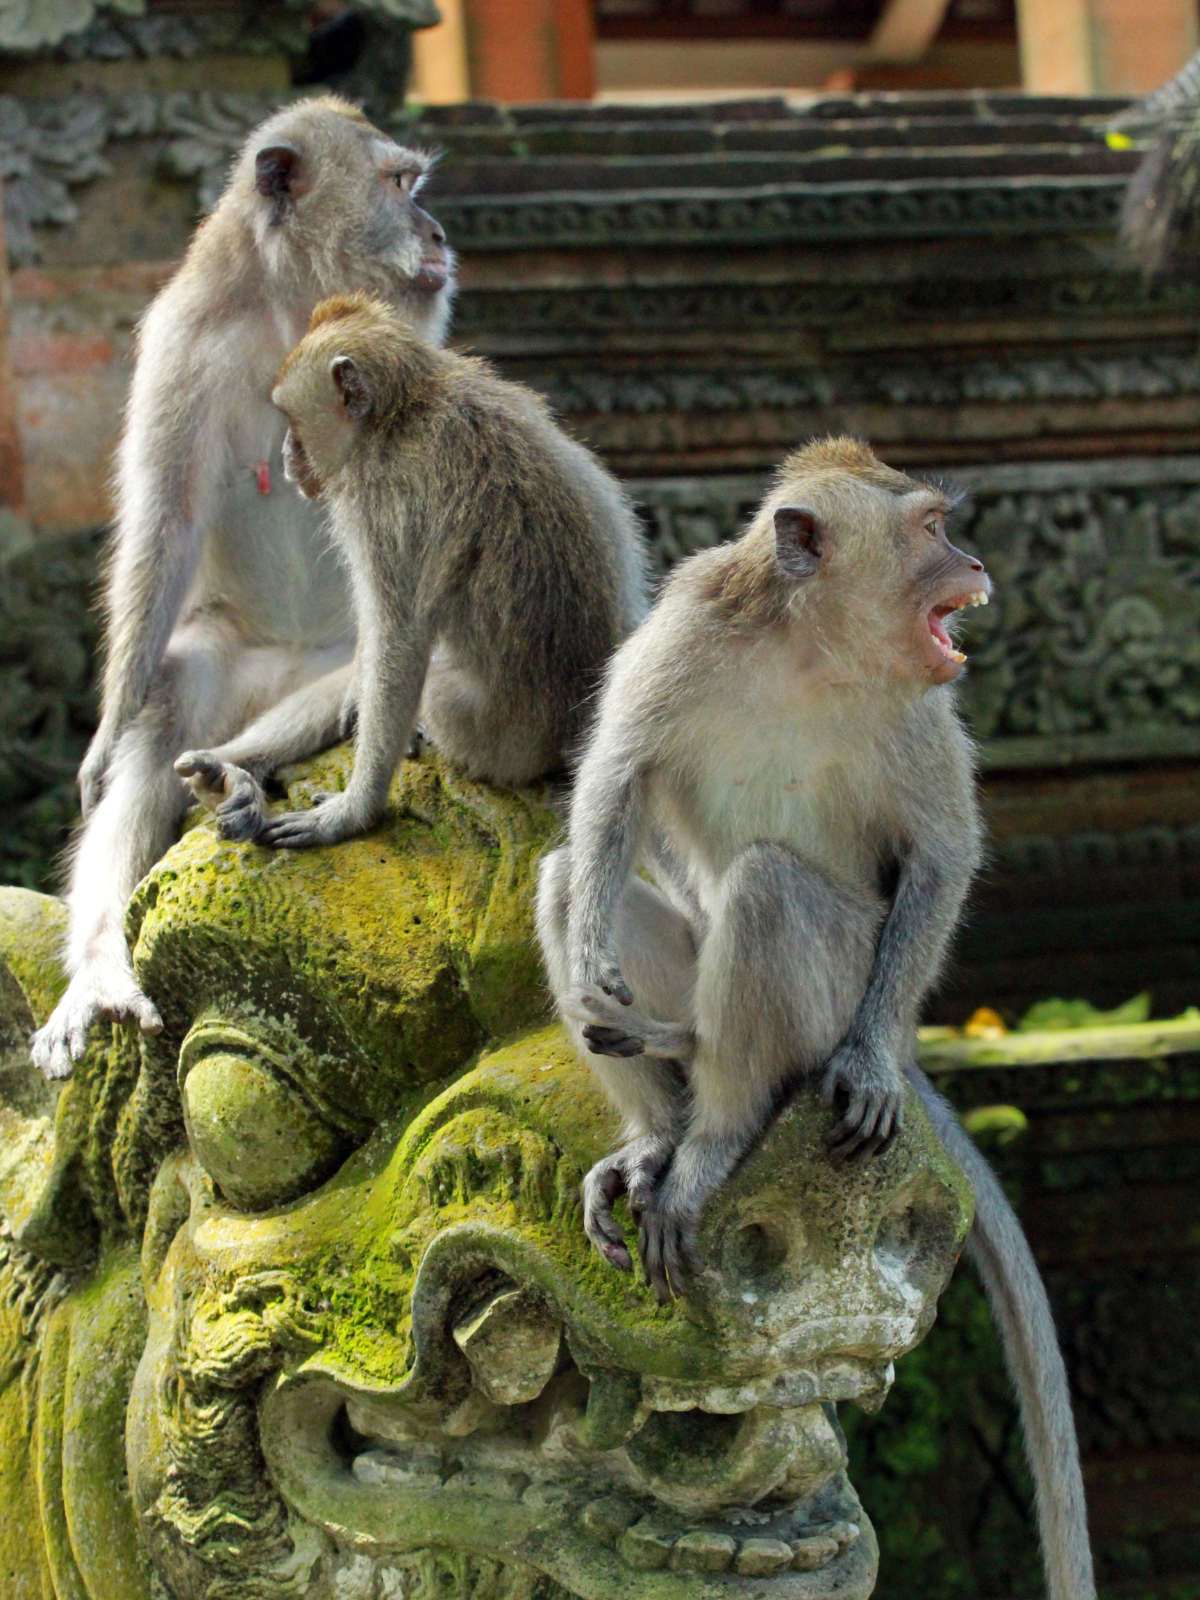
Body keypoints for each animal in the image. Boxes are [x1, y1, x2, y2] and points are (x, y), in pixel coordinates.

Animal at [30, 96, 456, 1080]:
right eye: (398, 184)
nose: (437, 232)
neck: (291, 307)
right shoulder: (179, 341)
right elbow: (166, 522)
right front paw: (102, 734)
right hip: (226, 660)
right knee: (167, 702)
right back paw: (103, 964)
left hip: (315, 668)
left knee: (367, 666)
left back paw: (242, 770)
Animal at [171, 292, 650, 851]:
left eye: (290, 417)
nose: (287, 455)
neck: (404, 411)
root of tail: (575, 736)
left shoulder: (379, 504)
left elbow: (398, 645)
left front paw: (352, 815)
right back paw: (225, 776)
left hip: (489, 740)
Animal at [536, 436, 1095, 1600]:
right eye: (932, 528)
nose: (974, 559)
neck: (805, 646)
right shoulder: (682, 634)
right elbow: (612, 788)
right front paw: (595, 948)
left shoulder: (925, 709)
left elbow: (938, 856)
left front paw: (869, 1070)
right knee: (570, 873)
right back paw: (656, 1131)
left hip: (844, 982)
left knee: (765, 890)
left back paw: (716, 1137)